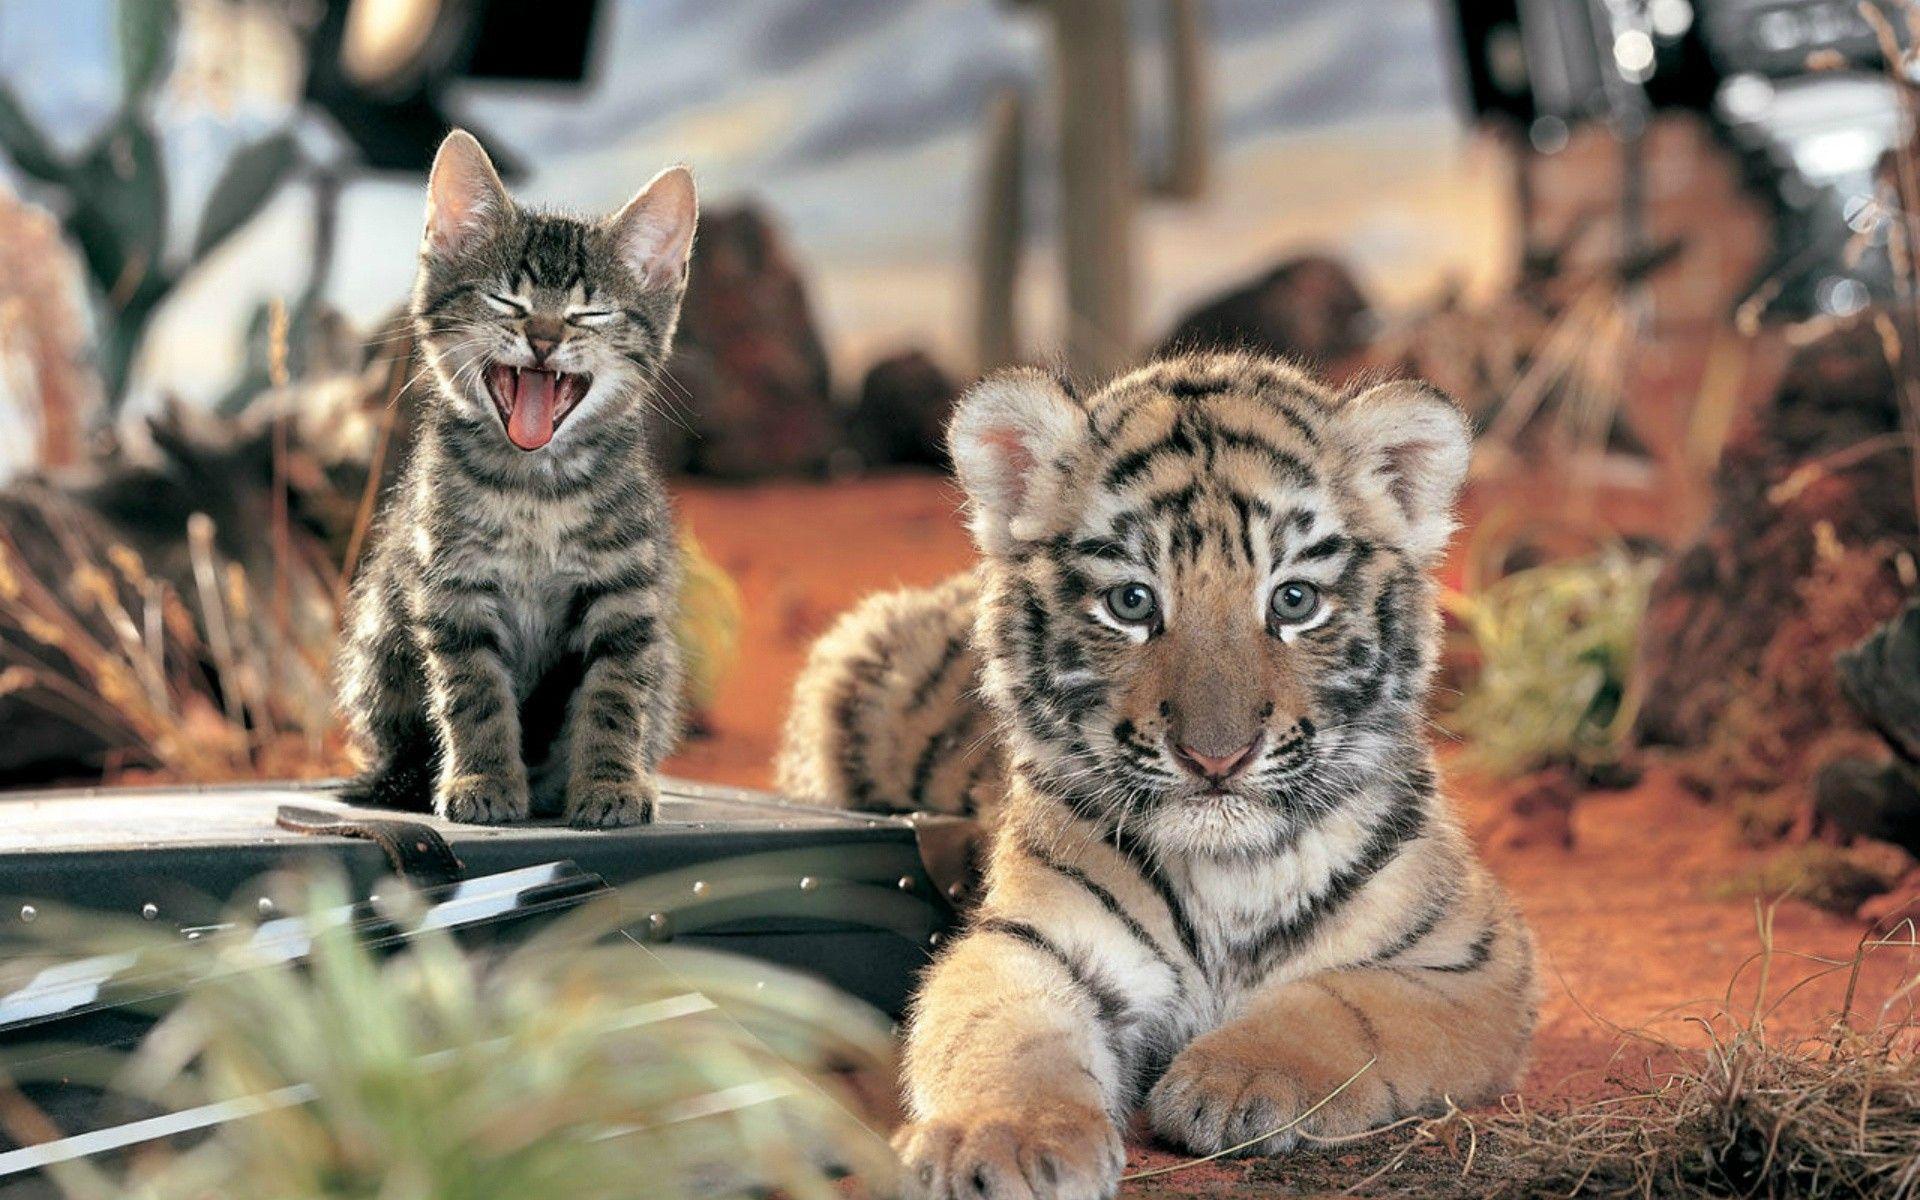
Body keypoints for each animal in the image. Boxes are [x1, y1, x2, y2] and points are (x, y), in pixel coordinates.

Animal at [778, 352, 1535, 1199]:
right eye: (1133, 602)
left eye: (1294, 600)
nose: (1216, 757)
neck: (1230, 874)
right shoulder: (1029, 940)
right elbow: (1004, 1032)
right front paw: (1005, 1137)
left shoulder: (1473, 960)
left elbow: (1351, 1003)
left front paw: (1237, 1078)